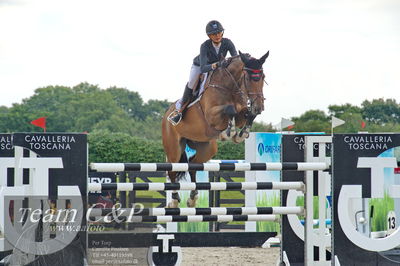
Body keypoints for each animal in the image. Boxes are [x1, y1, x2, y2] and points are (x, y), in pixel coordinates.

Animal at [162, 50, 268, 208]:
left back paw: (192, 198)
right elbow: (230, 109)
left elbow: (247, 114)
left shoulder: (242, 113)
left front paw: (241, 134)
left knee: (193, 164)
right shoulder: (211, 115)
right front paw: (228, 132)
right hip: (174, 148)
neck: (229, 86)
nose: (259, 107)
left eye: (263, 77)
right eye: (248, 77)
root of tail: (166, 114)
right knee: (173, 171)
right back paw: (174, 200)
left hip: (206, 147)